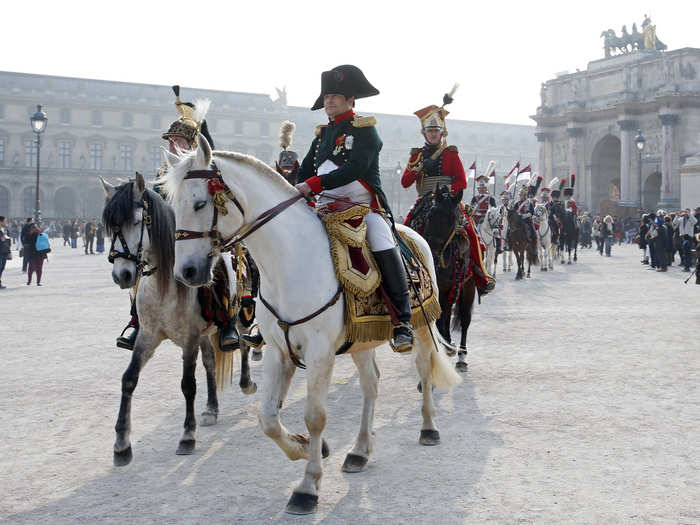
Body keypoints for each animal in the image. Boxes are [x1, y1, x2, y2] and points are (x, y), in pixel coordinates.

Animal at [163, 137, 460, 512]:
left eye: (200, 203)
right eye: (174, 206)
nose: (186, 272)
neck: (289, 261)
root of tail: (413, 235)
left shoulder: (320, 353)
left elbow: (315, 415)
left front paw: (308, 485)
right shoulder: (278, 350)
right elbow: (267, 418)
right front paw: (305, 447)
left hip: (422, 324)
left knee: (424, 368)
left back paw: (428, 427)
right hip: (361, 339)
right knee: (371, 384)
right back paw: (360, 450)